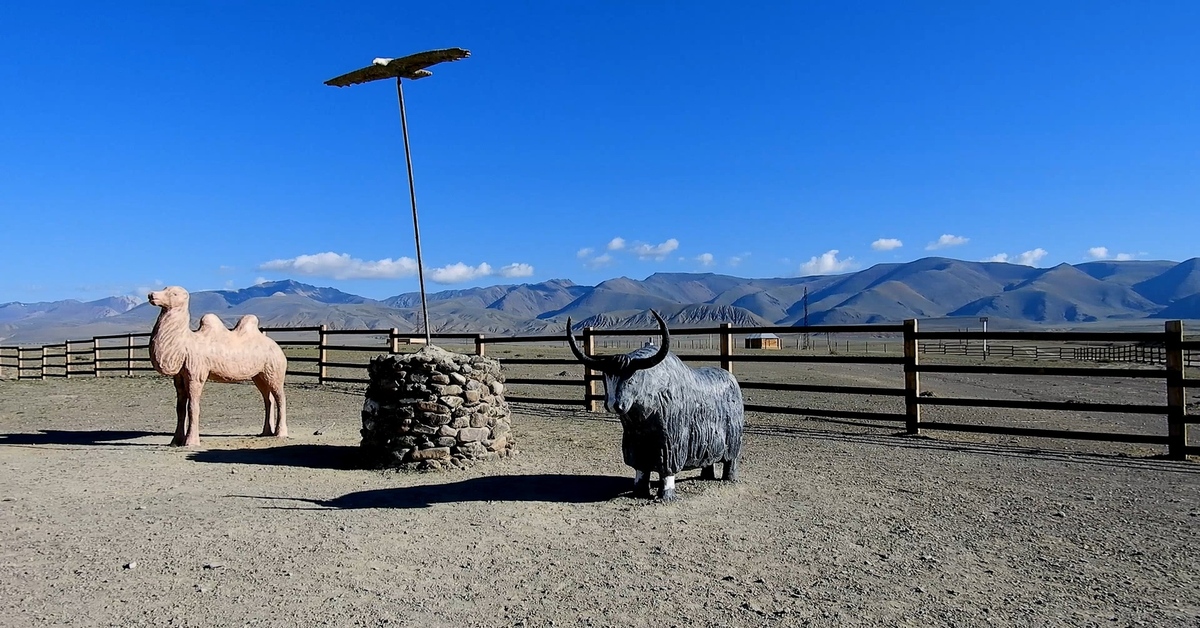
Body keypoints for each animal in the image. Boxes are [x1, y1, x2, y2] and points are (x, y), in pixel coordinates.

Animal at [147, 286, 288, 444]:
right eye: (165, 288)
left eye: (174, 293)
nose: (151, 295)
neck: (185, 345)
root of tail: (277, 347)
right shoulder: (179, 377)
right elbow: (180, 408)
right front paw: (175, 441)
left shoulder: (196, 375)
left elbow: (192, 407)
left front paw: (191, 442)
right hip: (259, 375)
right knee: (268, 399)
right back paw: (266, 432)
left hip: (275, 370)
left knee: (280, 397)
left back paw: (281, 433)